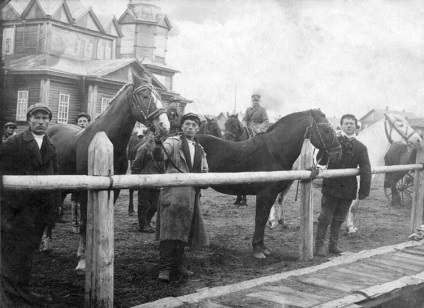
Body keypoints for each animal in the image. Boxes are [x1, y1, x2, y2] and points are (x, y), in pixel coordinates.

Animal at [45, 71, 170, 272]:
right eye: (145, 96)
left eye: (159, 96)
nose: (164, 126)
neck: (106, 140)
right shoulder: (84, 190)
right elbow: (84, 223)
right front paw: (82, 260)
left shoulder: (114, 189)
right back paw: (46, 243)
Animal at [196, 109, 342, 258]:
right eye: (326, 130)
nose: (338, 153)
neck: (275, 151)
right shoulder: (265, 194)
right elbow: (260, 218)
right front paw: (257, 249)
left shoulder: (271, 194)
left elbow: (264, 217)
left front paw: (263, 247)